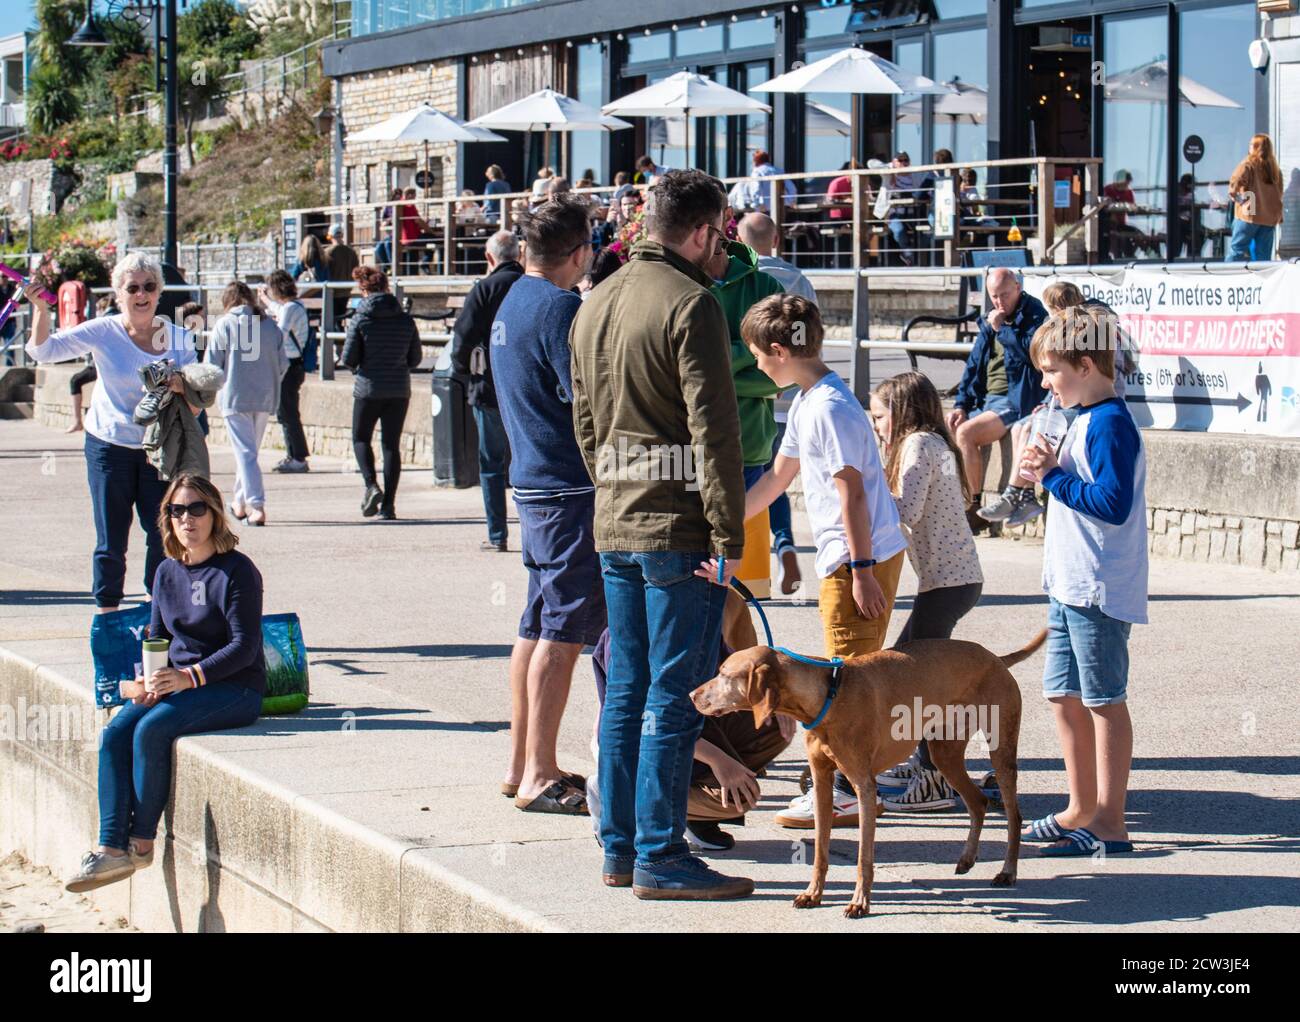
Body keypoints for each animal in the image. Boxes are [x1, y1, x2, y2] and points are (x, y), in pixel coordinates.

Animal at [691, 629, 1045, 915]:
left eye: (724, 673)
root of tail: (995, 658)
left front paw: (860, 902)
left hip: (1001, 752)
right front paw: (813, 894)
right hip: (946, 754)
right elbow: (820, 850)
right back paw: (967, 858)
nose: (692, 695)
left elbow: (864, 857)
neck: (828, 695)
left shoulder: (864, 785)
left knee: (1013, 815)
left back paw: (1007, 871)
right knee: (978, 802)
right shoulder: (821, 781)